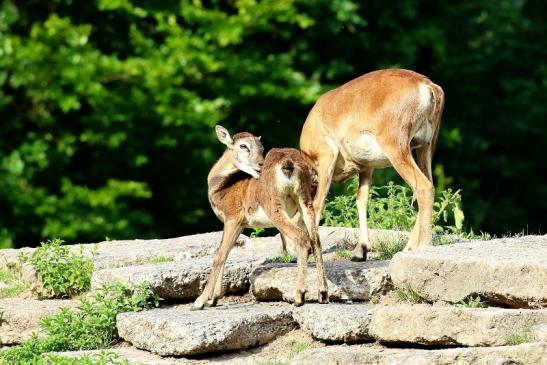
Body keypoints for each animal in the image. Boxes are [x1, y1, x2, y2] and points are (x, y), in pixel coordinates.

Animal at [193, 126, 330, 310]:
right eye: (243, 146)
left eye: (261, 147)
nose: (260, 163)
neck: (222, 189)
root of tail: (288, 165)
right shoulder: (241, 223)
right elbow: (225, 252)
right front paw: (214, 299)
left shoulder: (233, 217)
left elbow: (219, 255)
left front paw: (200, 301)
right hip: (305, 202)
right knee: (316, 239)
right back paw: (323, 294)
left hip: (274, 207)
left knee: (301, 238)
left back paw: (299, 296)